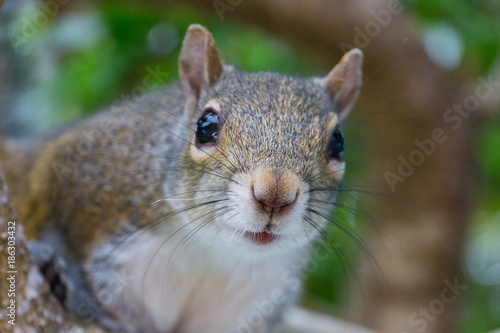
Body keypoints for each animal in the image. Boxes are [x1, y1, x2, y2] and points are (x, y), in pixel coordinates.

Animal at [1, 24, 366, 330]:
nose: (274, 195)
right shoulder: (78, 177)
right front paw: (70, 282)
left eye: (338, 143)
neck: (215, 252)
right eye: (205, 126)